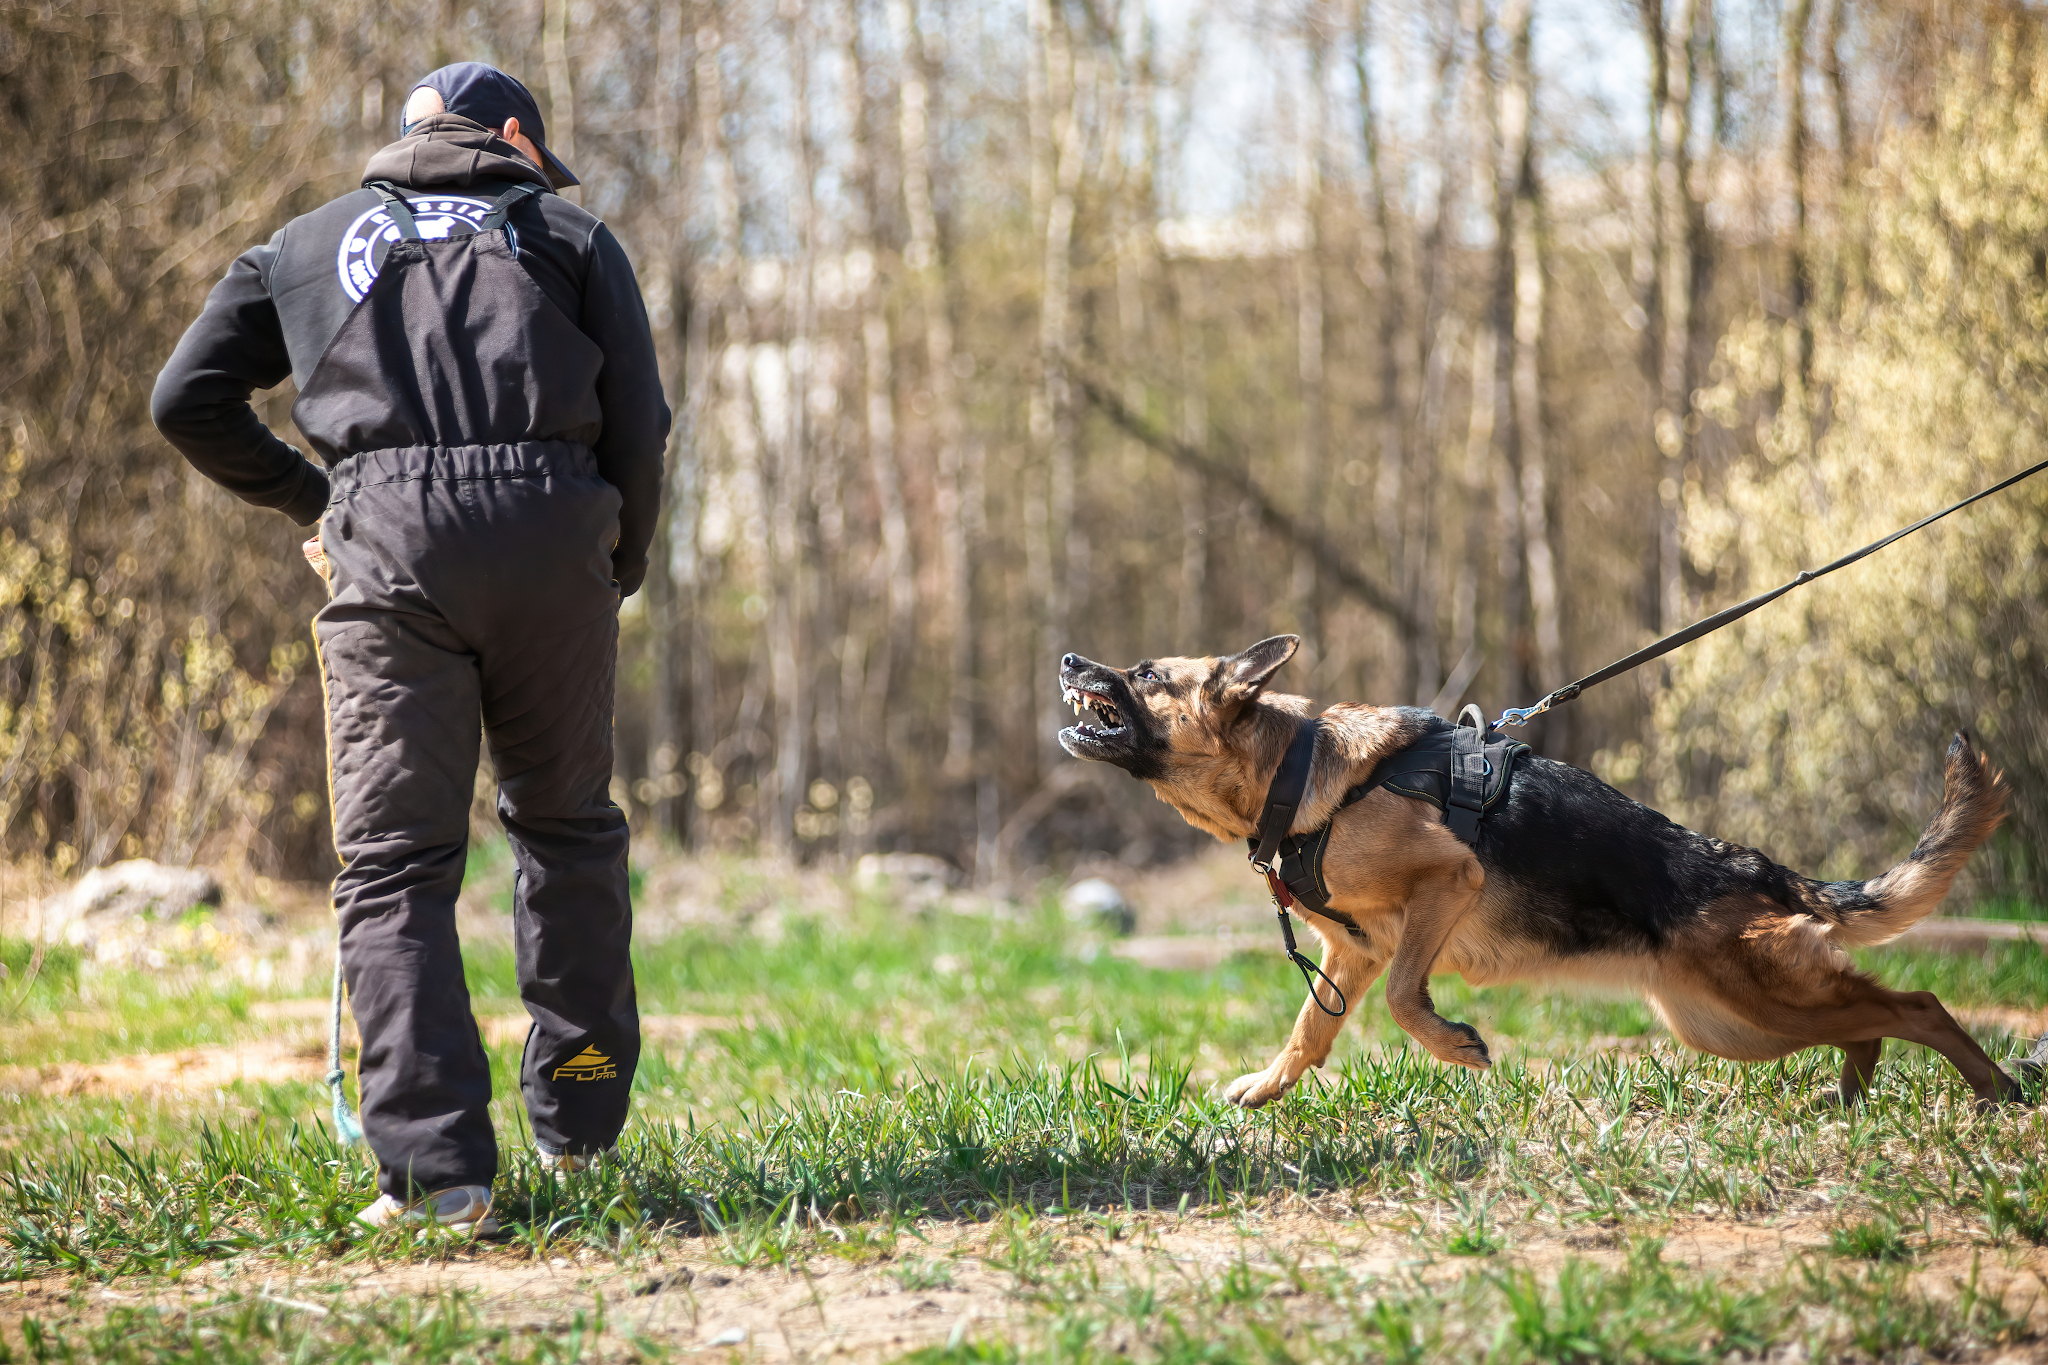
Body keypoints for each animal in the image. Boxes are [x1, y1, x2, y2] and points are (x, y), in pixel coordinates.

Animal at [1064, 638, 2023, 1113]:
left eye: (1147, 673)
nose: (1069, 662)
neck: (1298, 771)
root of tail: (1760, 867)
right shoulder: (1353, 952)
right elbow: (1310, 1030)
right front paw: (1265, 1086)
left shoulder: (1444, 884)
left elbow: (1408, 999)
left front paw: (1457, 1044)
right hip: (1731, 1024)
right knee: (1868, 1020)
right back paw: (1852, 1094)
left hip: (1759, 1002)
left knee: (1915, 1005)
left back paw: (1994, 1090)